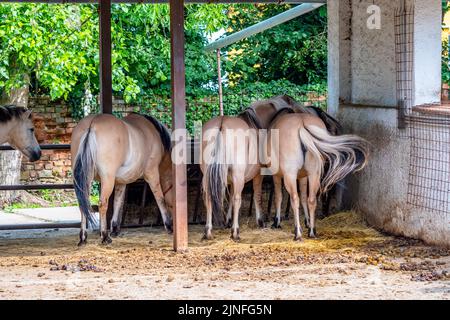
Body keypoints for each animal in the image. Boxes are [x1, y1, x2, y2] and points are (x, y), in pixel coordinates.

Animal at [71, 112, 173, 245]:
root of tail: (92, 125)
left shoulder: (121, 181)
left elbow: (118, 201)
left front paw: (115, 228)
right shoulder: (152, 174)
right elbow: (160, 198)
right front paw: (169, 225)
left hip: (86, 179)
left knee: (83, 204)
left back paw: (83, 237)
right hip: (107, 179)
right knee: (102, 204)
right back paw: (104, 236)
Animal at [268, 111, 370, 239]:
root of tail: (302, 125)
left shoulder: (277, 175)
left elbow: (279, 197)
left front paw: (276, 222)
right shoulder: (303, 176)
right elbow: (303, 197)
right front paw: (307, 222)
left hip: (290, 175)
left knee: (295, 199)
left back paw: (298, 233)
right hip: (314, 174)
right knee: (311, 199)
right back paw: (312, 231)